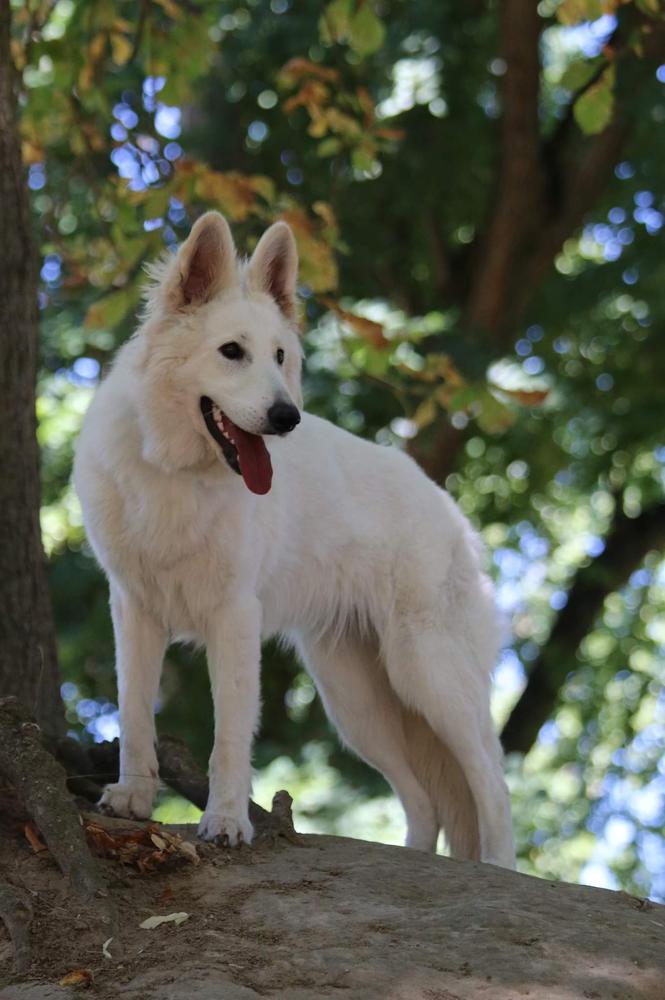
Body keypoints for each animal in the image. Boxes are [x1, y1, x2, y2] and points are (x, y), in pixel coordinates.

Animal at [75, 213, 516, 868]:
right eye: (232, 352)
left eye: (280, 356)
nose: (288, 419)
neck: (177, 474)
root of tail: (449, 509)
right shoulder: (133, 610)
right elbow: (133, 714)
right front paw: (132, 798)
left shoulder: (234, 618)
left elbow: (230, 736)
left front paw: (226, 822)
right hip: (357, 702)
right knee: (425, 801)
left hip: (427, 675)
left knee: (492, 781)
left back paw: (501, 868)